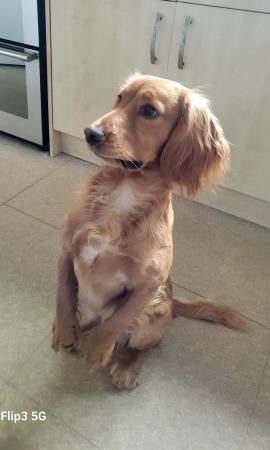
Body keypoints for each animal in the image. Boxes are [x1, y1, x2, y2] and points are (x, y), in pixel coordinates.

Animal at [51, 74, 245, 390]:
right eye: (119, 98)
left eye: (150, 111)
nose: (90, 132)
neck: (124, 191)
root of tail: (174, 301)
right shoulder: (68, 249)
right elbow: (64, 294)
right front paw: (64, 331)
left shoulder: (148, 284)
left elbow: (118, 320)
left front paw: (97, 349)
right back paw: (80, 334)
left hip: (153, 316)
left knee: (146, 345)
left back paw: (125, 366)